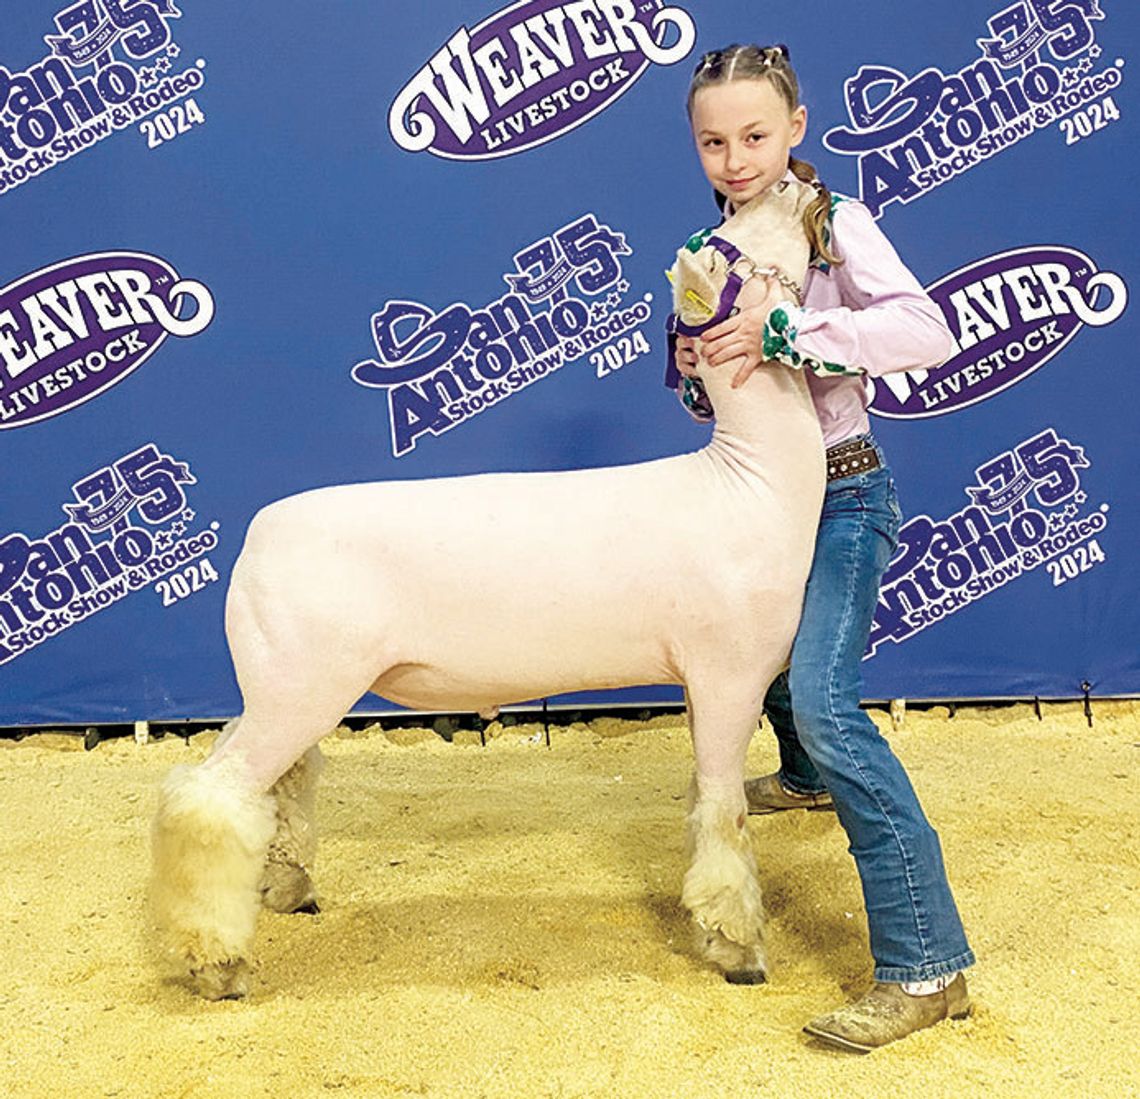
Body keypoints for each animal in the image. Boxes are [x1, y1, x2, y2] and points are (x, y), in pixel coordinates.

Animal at [151, 177, 825, 994]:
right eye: (734, 236)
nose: (802, 178)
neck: (750, 481)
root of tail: (256, 538)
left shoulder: (698, 676)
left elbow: (701, 799)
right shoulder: (731, 669)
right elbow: (726, 809)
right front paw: (739, 949)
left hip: (281, 682)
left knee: (275, 781)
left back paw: (288, 888)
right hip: (298, 681)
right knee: (212, 795)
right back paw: (217, 962)